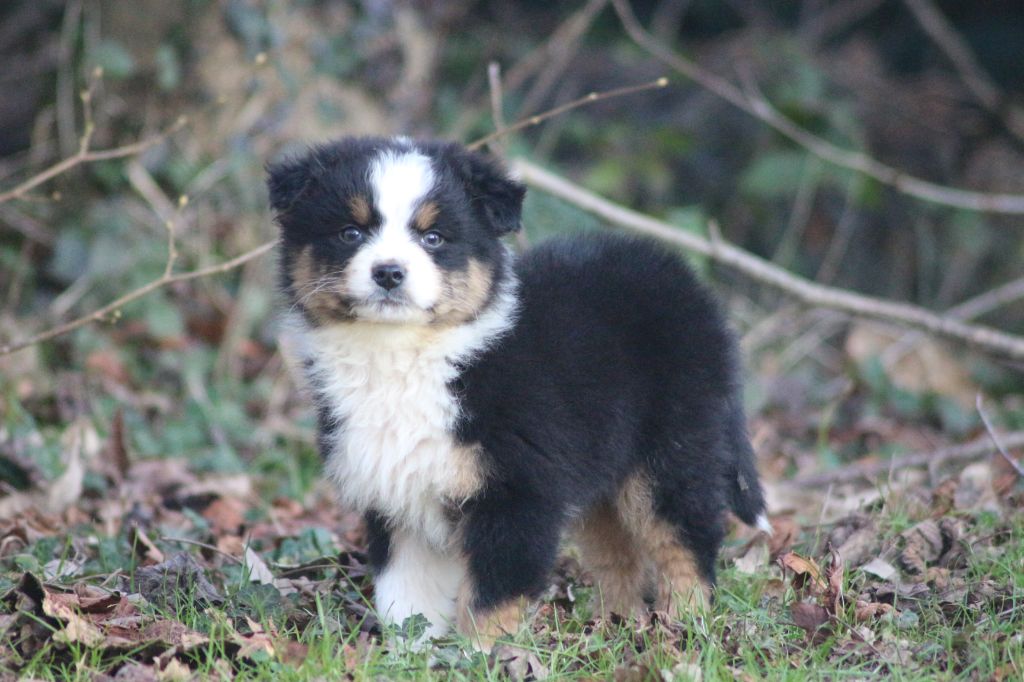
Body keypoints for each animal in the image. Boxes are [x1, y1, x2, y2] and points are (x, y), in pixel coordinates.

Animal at [268, 135, 765, 647]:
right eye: (350, 232)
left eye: (433, 237)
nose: (388, 273)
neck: (404, 353)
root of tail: (686, 283)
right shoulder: (396, 498)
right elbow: (406, 595)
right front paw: (411, 653)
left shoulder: (517, 491)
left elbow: (494, 594)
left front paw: (483, 652)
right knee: (618, 553)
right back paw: (616, 625)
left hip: (672, 448)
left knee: (685, 539)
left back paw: (686, 626)